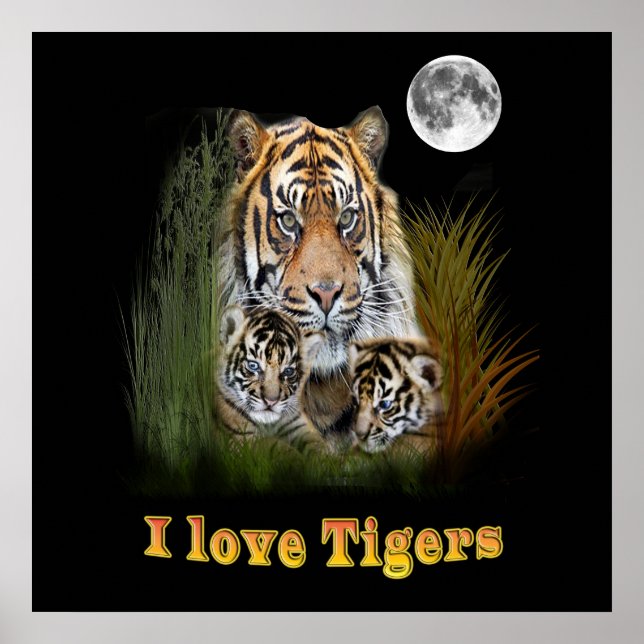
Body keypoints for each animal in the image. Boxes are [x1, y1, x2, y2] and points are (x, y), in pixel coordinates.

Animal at [215, 304, 326, 453]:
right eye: (253, 365)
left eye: (288, 371)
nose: (271, 401)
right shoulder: (242, 438)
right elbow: (279, 448)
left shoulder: (298, 423)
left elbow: (319, 445)